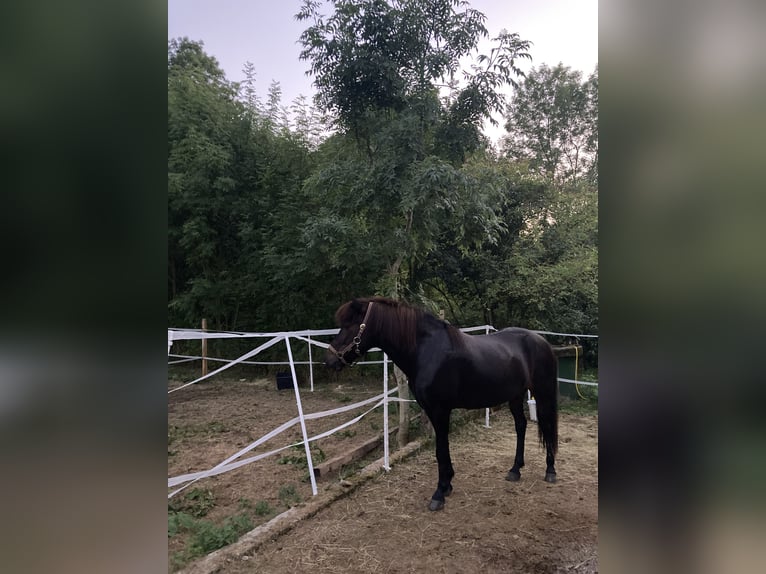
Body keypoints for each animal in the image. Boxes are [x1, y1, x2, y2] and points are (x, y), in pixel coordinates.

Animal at [328, 296, 560, 512]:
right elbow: (442, 448)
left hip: (543, 393)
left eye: (349, 324)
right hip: (515, 396)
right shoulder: (432, 410)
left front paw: (439, 493)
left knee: (547, 426)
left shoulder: (440, 410)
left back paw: (550, 471)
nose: (329, 359)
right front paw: (447, 485)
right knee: (521, 425)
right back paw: (515, 470)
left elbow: (440, 449)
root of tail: (542, 341)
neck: (426, 350)